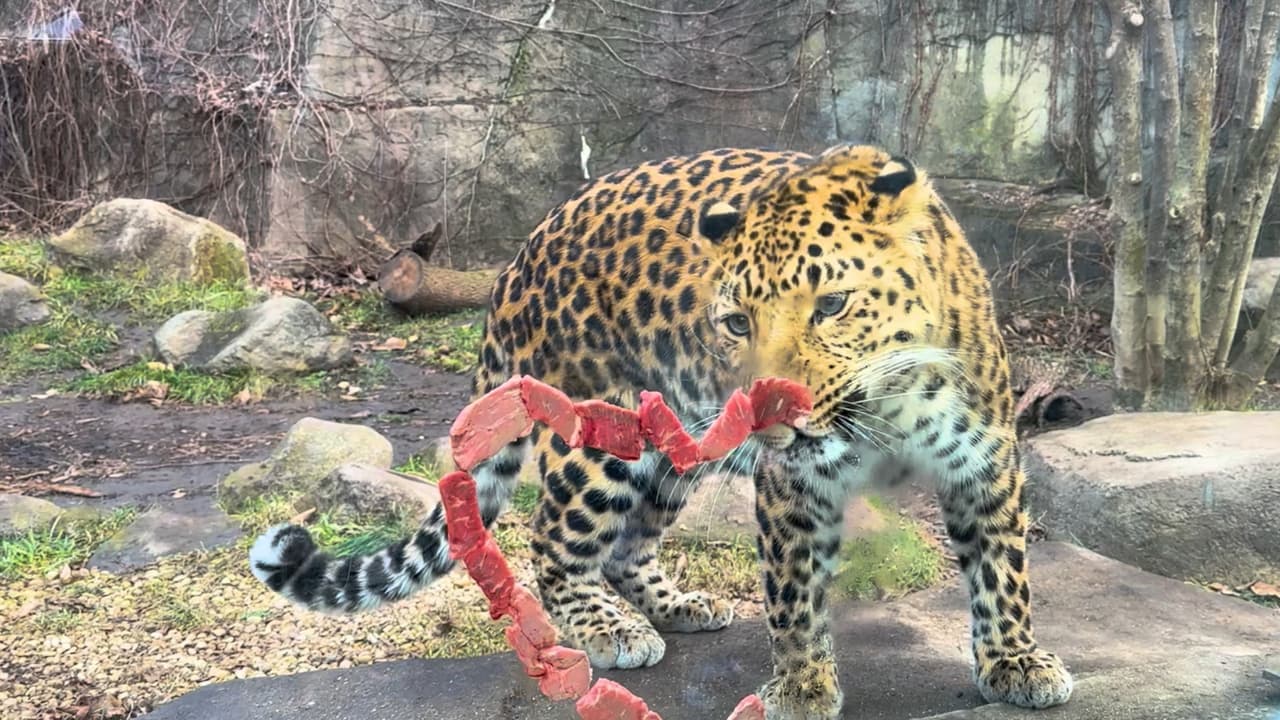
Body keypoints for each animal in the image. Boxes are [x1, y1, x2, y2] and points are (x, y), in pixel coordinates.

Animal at [250, 144, 1073, 718]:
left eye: (832, 305)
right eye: (737, 322)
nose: (772, 413)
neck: (884, 411)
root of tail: (517, 259)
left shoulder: (985, 464)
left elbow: (1003, 572)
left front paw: (1016, 663)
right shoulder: (792, 485)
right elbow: (796, 594)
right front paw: (803, 685)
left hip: (671, 444)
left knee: (628, 545)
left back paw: (677, 606)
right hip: (596, 434)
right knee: (555, 544)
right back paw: (611, 630)